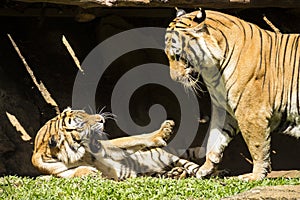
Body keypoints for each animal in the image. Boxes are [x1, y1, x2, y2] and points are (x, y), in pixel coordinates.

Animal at [31, 108, 203, 180]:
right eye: (81, 123)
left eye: (85, 113)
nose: (102, 119)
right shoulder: (58, 172)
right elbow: (71, 173)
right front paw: (89, 172)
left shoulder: (107, 148)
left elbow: (133, 139)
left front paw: (164, 131)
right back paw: (176, 174)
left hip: (173, 159)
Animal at [165, 9, 298, 181]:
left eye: (178, 56)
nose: (174, 79)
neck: (213, 69)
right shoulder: (224, 109)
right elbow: (214, 141)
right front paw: (205, 169)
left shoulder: (251, 113)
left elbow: (257, 147)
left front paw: (255, 176)